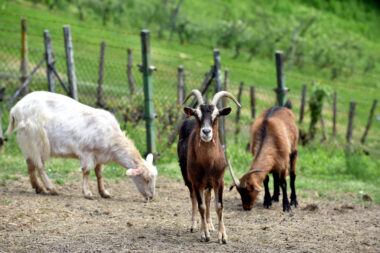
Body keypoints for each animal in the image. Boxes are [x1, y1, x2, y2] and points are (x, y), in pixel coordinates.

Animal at [5, 91, 157, 200]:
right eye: (146, 179)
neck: (112, 138)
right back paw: (51, 188)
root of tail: (15, 109)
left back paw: (38, 187)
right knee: (40, 166)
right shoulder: (86, 152)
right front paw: (87, 193)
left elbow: (99, 174)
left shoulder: (99, 155)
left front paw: (104, 192)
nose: (151, 197)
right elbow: (86, 171)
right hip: (36, 139)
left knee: (30, 164)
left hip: (28, 142)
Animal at [178, 89, 240, 243]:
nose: (206, 132)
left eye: (216, 115)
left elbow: (219, 206)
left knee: (207, 197)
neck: (208, 163)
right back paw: (194, 225)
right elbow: (201, 206)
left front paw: (222, 236)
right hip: (188, 179)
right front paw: (204, 234)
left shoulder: (219, 181)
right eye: (196, 114)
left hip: (209, 183)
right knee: (194, 198)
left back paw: (210, 224)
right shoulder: (196, 181)